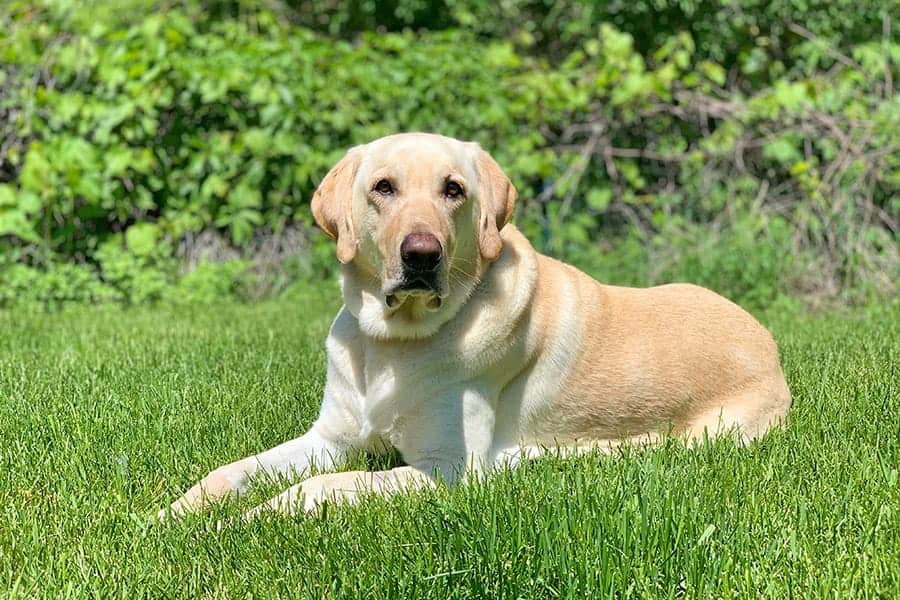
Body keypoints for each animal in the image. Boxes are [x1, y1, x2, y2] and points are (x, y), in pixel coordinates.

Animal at [158, 134, 792, 516]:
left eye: (453, 190)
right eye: (383, 187)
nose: (421, 254)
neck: (394, 343)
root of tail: (771, 345)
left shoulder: (444, 469)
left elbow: (320, 487)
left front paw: (253, 519)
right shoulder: (330, 439)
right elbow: (229, 472)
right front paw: (176, 514)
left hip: (710, 435)